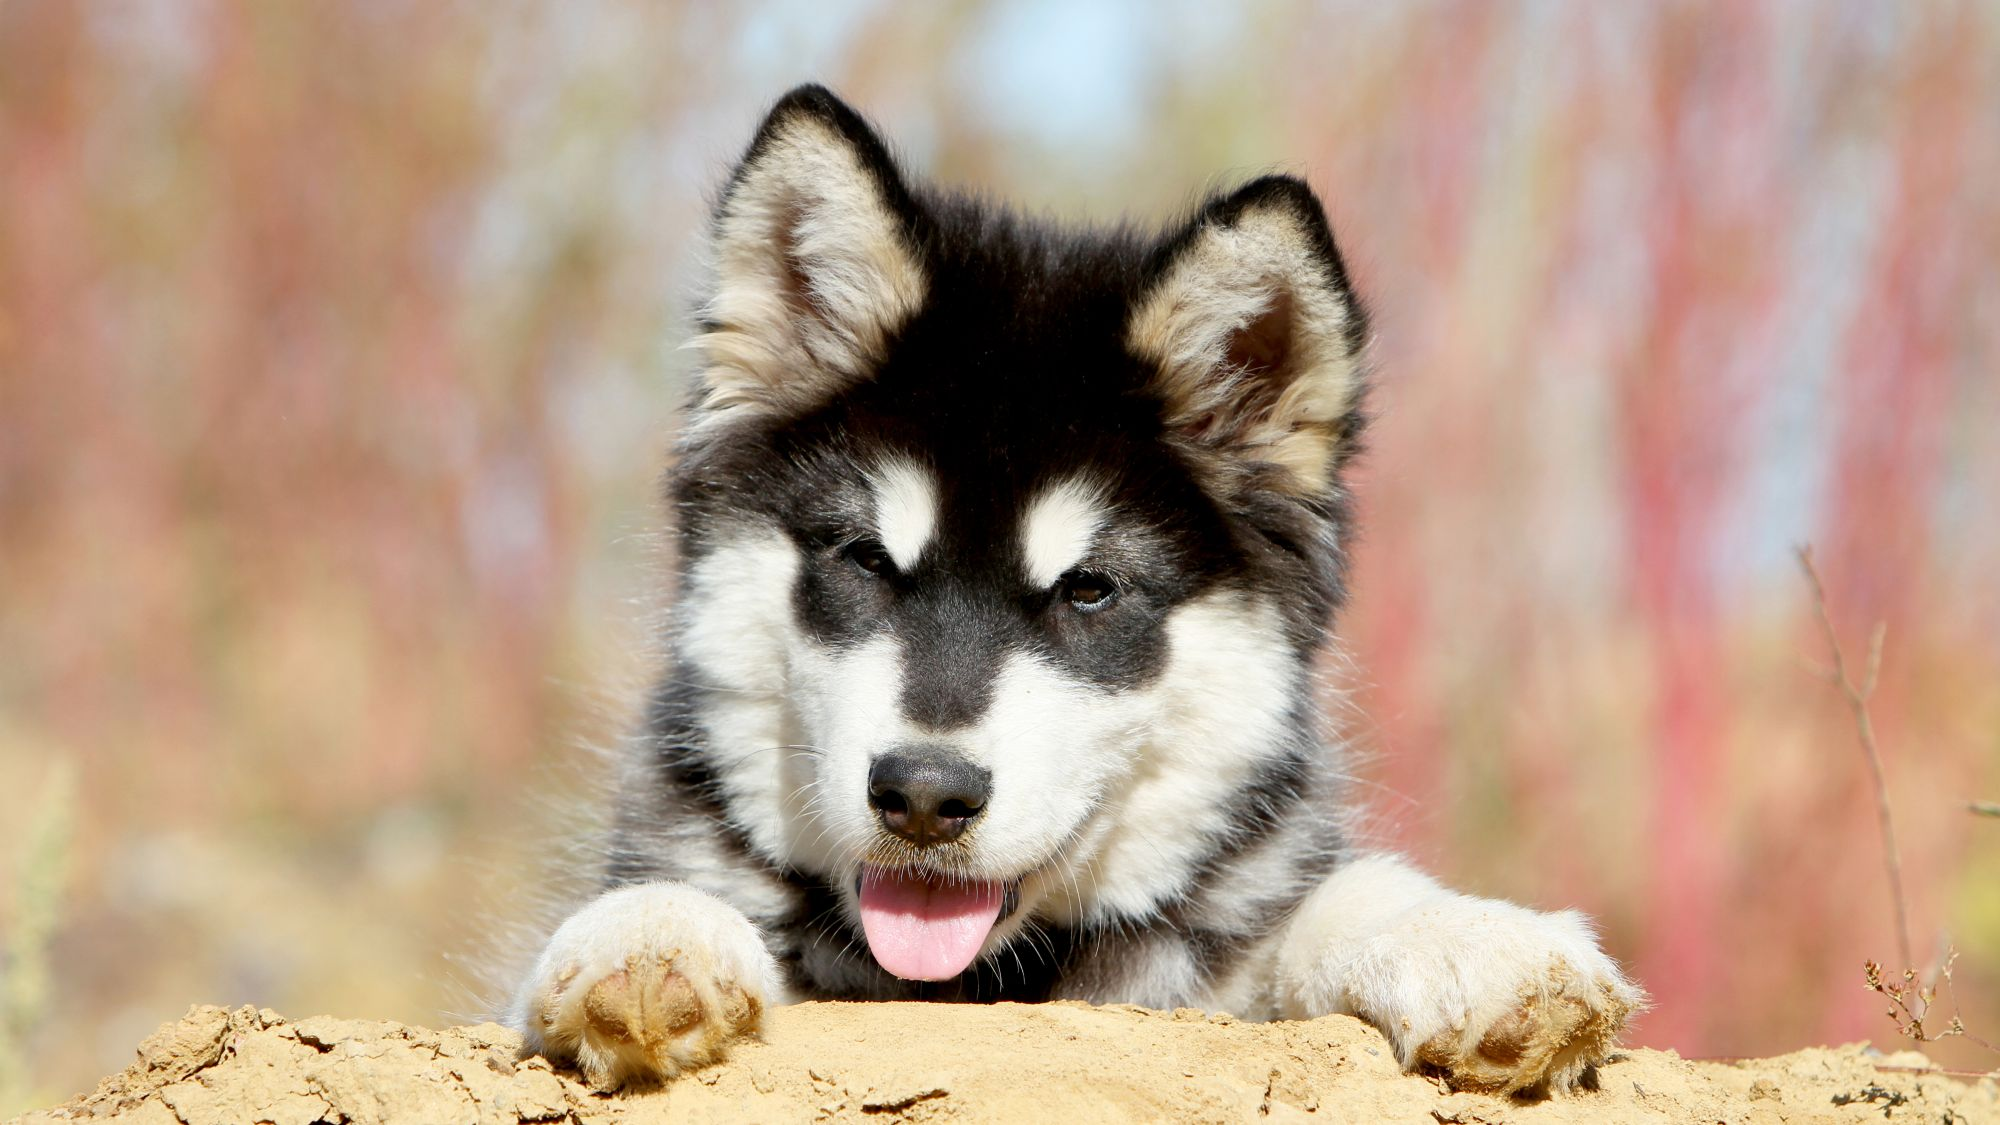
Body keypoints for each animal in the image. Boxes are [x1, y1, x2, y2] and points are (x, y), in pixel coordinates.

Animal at [512, 87, 1640, 1096]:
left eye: (1090, 590)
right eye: (866, 560)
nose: (924, 795)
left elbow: (1333, 897)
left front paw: (1470, 938)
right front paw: (650, 931)